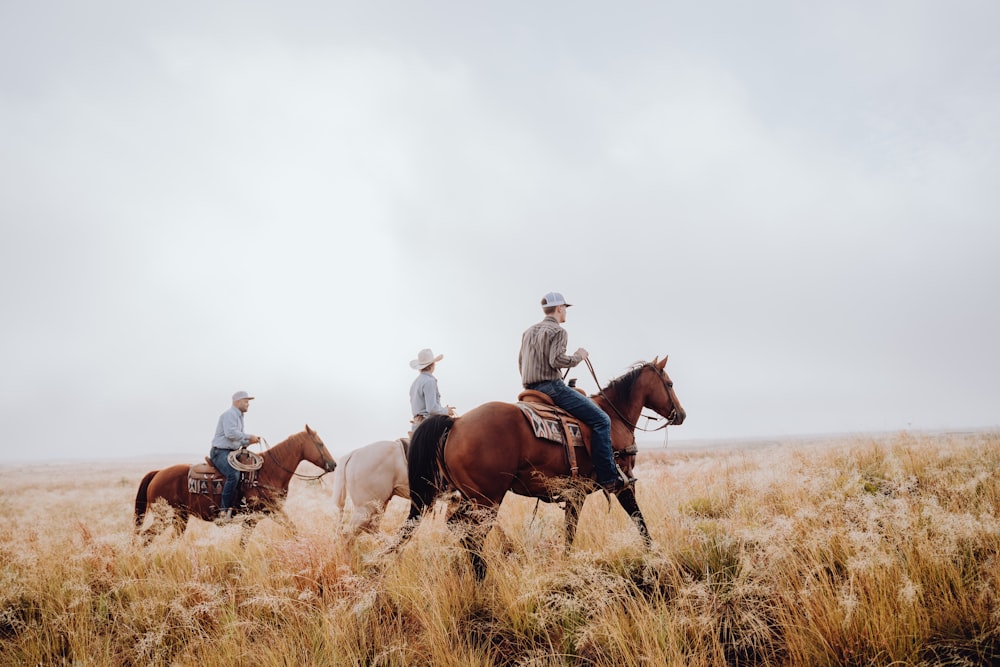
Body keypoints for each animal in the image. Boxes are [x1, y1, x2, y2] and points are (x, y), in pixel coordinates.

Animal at [133, 426, 338, 544]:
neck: (268, 472)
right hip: (164, 517)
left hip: (180, 517)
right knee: (145, 537)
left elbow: (292, 530)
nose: (333, 464)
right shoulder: (256, 516)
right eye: (320, 444)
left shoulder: (267, 513)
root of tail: (158, 473)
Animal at [402, 354, 684, 580]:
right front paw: (654, 555)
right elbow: (639, 520)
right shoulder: (623, 482)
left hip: (470, 497)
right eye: (670, 384)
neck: (613, 418)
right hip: (487, 500)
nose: (681, 414)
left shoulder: (575, 494)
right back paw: (482, 577)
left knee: (458, 526)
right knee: (473, 534)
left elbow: (569, 532)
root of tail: (456, 423)